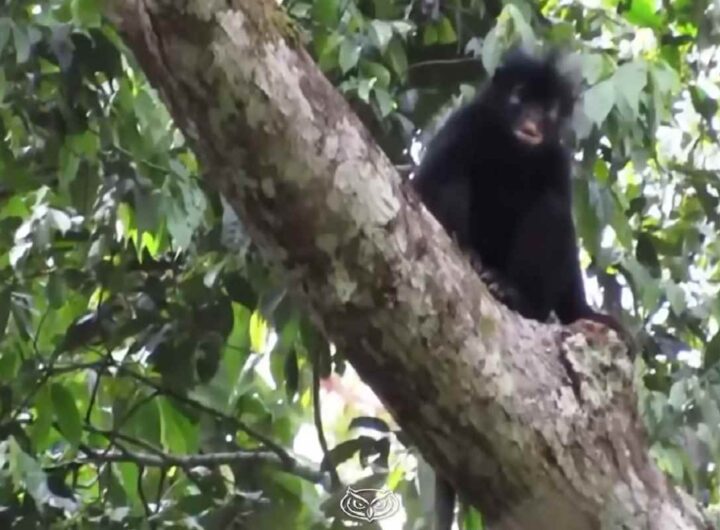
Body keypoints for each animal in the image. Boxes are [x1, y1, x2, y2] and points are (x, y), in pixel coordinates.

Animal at [411, 48, 628, 530]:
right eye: (519, 98)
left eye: (546, 110)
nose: (531, 121)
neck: (513, 150)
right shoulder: (465, 123)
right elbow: (426, 184)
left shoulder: (556, 160)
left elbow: (562, 228)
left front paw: (586, 312)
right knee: (454, 176)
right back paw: (473, 260)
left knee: (550, 212)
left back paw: (511, 294)